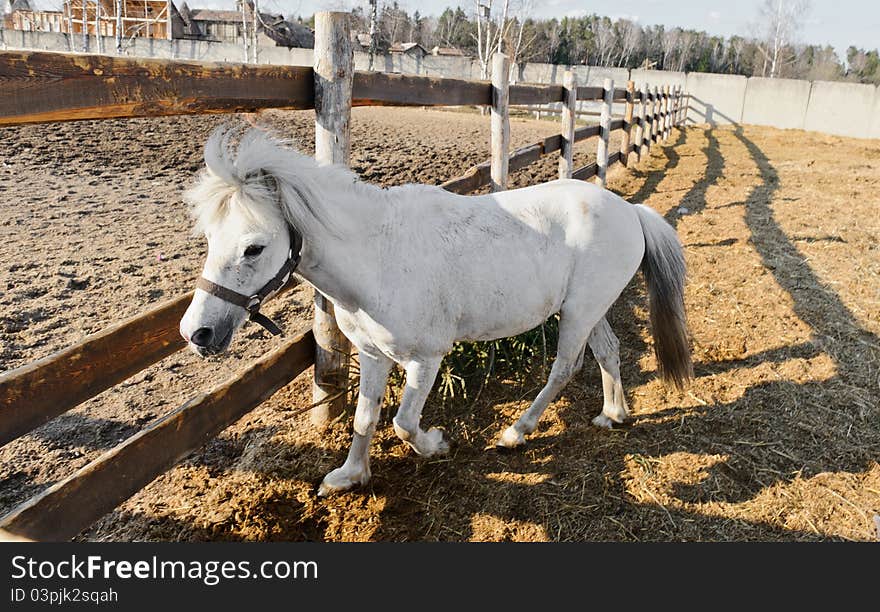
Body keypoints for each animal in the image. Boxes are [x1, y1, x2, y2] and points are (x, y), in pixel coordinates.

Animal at [180, 126, 696, 494]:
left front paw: (437, 443)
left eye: (253, 248)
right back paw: (612, 415)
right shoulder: (372, 355)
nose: (197, 333)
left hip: (578, 314)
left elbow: (404, 424)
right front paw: (349, 476)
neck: (378, 256)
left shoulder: (426, 359)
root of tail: (631, 212)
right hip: (589, 309)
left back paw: (515, 433)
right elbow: (365, 418)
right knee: (609, 351)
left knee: (565, 368)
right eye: (209, 238)